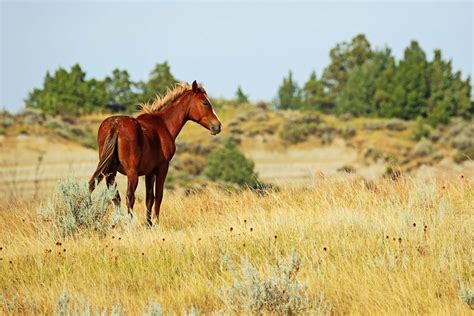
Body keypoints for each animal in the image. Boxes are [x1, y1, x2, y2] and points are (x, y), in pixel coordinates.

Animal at [89, 80, 222, 226]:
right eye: (205, 103)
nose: (217, 126)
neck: (163, 124)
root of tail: (115, 125)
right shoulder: (162, 168)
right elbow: (158, 196)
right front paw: (156, 223)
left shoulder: (149, 172)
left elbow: (149, 198)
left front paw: (149, 224)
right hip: (131, 173)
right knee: (129, 197)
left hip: (110, 172)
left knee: (109, 193)